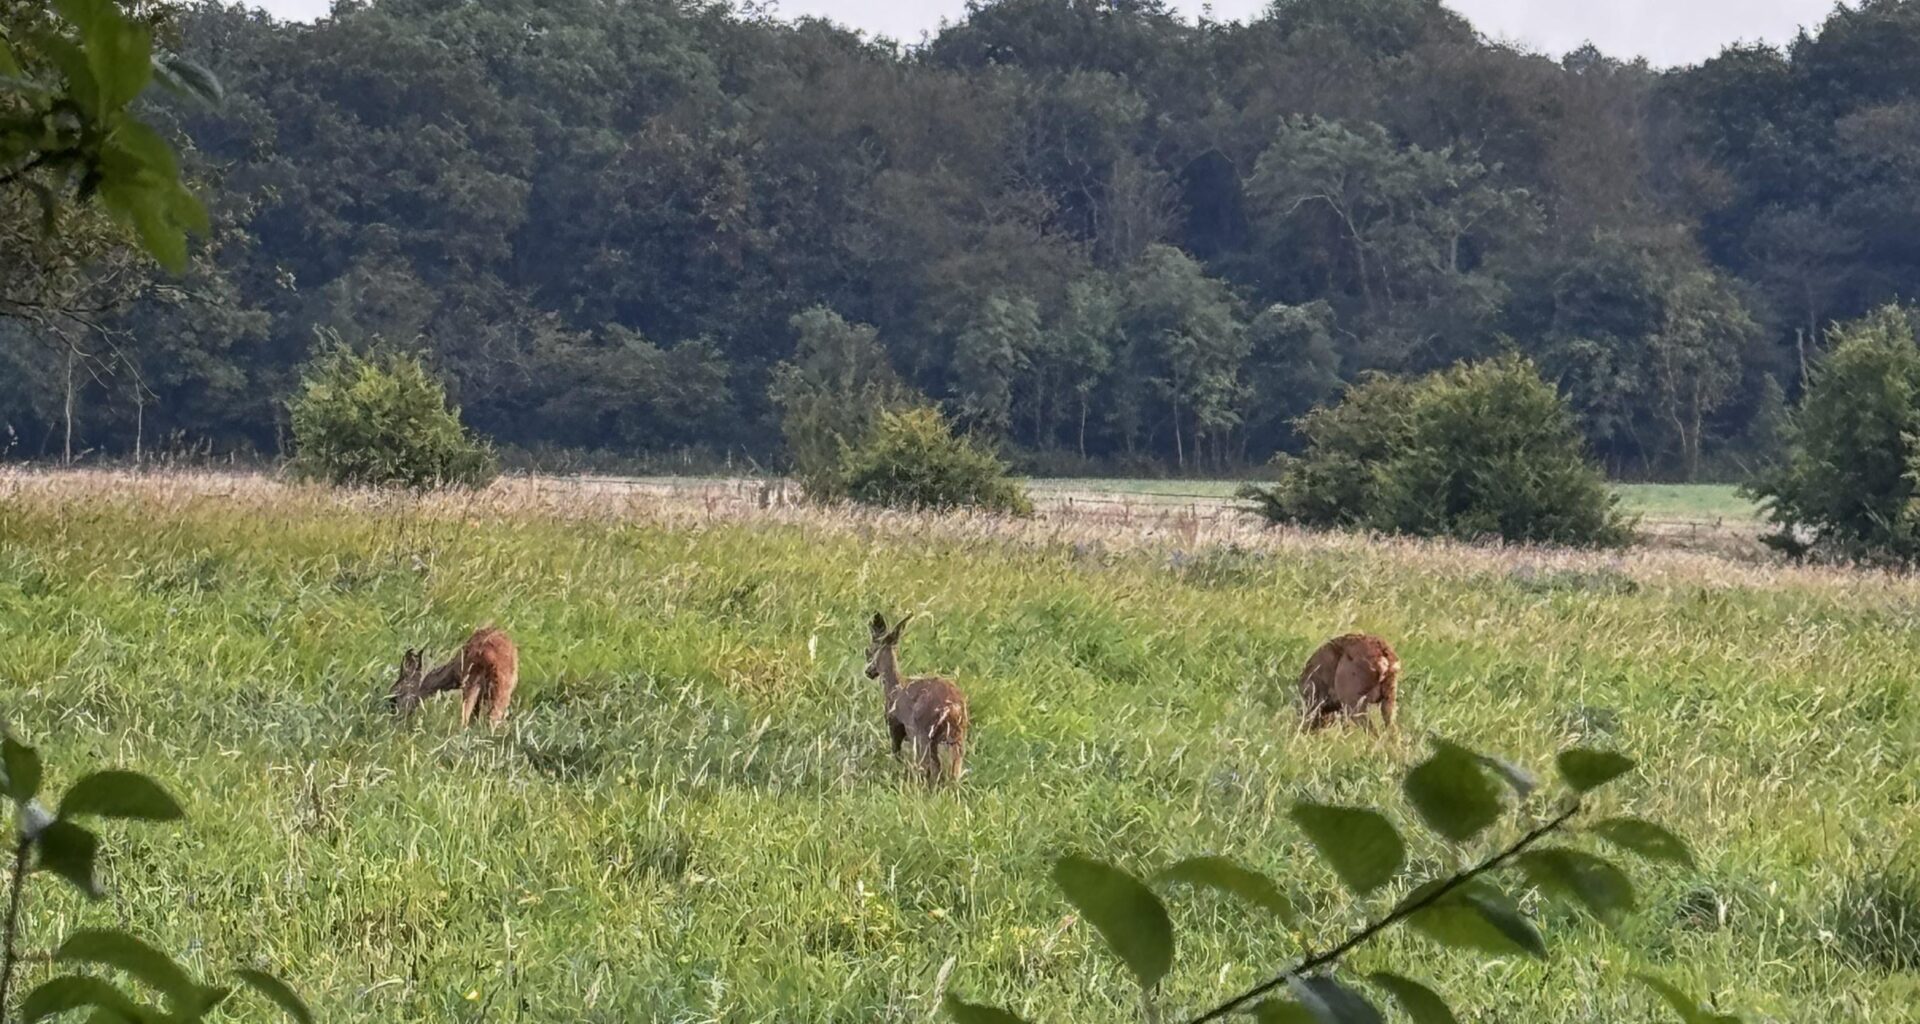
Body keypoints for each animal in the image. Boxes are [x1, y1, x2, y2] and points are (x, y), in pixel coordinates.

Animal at [864, 614, 967, 783]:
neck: (895, 688)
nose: (868, 671)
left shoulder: (895, 724)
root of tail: (952, 709)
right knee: (952, 771)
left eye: (871, 649)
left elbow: (896, 752)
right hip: (956, 737)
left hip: (923, 733)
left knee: (930, 767)